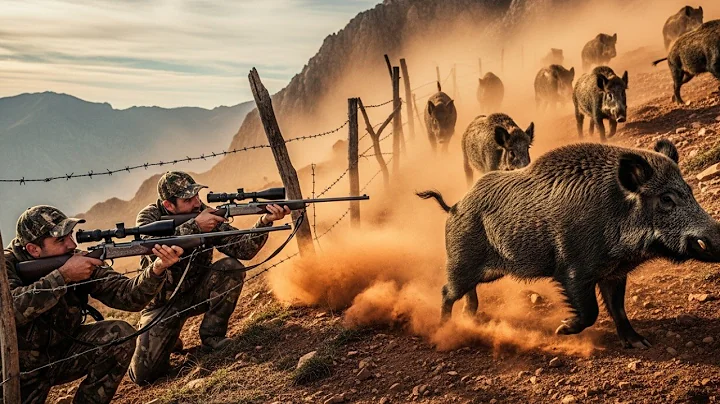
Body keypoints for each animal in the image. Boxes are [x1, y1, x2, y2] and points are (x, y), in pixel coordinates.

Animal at [417, 140, 720, 348]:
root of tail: (454, 206)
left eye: (690, 191)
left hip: (489, 271)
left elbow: (619, 309)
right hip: (461, 261)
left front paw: (640, 344)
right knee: (447, 291)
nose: (716, 237)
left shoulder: (614, 273)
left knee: (468, 291)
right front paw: (561, 329)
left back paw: (469, 317)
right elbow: (590, 310)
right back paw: (444, 327)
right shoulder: (572, 271)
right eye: (666, 199)